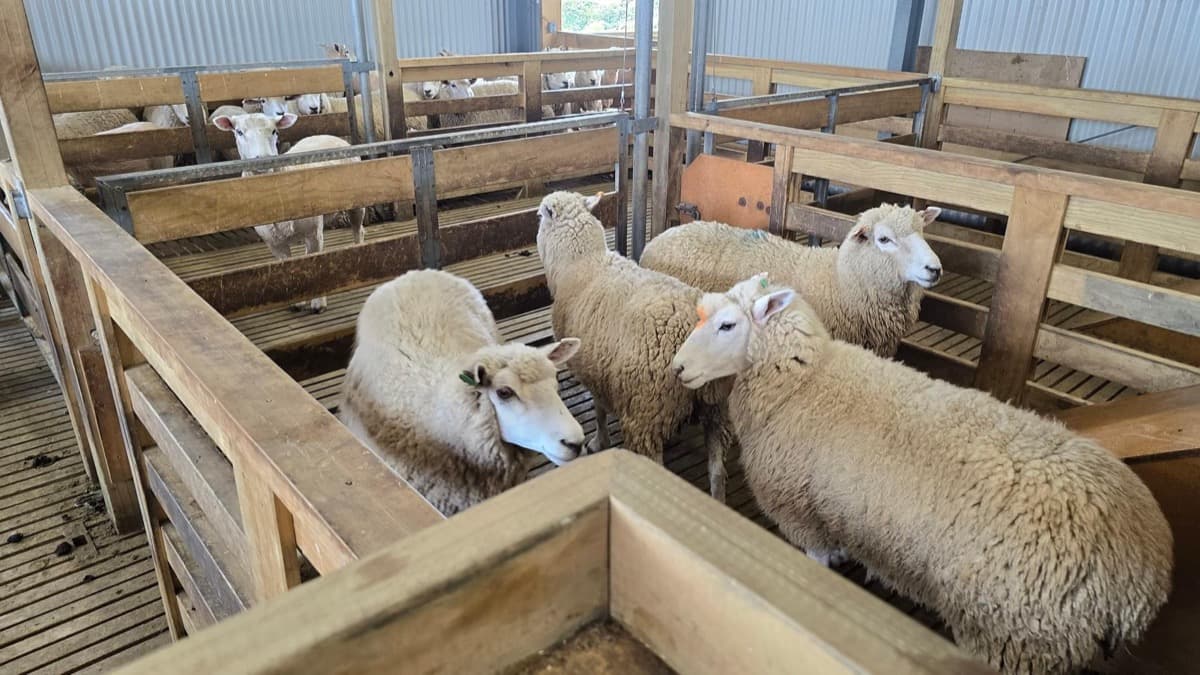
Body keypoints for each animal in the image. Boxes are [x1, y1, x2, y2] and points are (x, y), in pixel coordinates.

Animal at [213, 112, 367, 312]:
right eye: (239, 132)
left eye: (274, 131)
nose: (264, 158)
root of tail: (327, 135)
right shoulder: (274, 243)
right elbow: (290, 268)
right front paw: (296, 301)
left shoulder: (313, 233)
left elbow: (318, 264)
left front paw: (318, 302)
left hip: (357, 201)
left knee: (358, 230)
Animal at [536, 191, 736, 501]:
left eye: (538, 218)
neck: (581, 261)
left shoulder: (592, 367)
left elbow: (599, 409)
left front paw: (599, 441)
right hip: (717, 408)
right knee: (717, 471)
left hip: (647, 413)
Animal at [670, 273, 1174, 675]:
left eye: (727, 325)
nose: (677, 368)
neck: (803, 382)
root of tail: (1143, 574)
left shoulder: (801, 511)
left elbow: (818, 561)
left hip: (1015, 635)